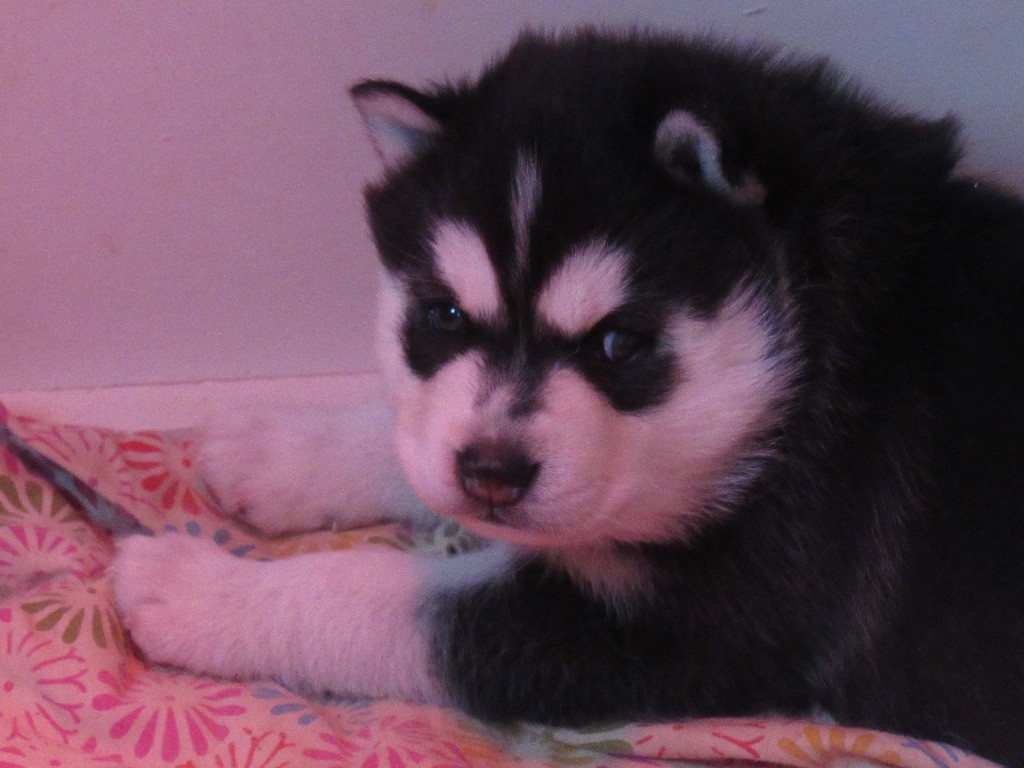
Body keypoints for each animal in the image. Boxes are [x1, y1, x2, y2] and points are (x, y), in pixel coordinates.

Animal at [112, 31, 1024, 768]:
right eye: (443, 316)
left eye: (618, 344)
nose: (492, 473)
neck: (808, 343)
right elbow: (412, 440)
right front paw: (277, 447)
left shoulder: (712, 618)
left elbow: (391, 600)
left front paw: (202, 591)